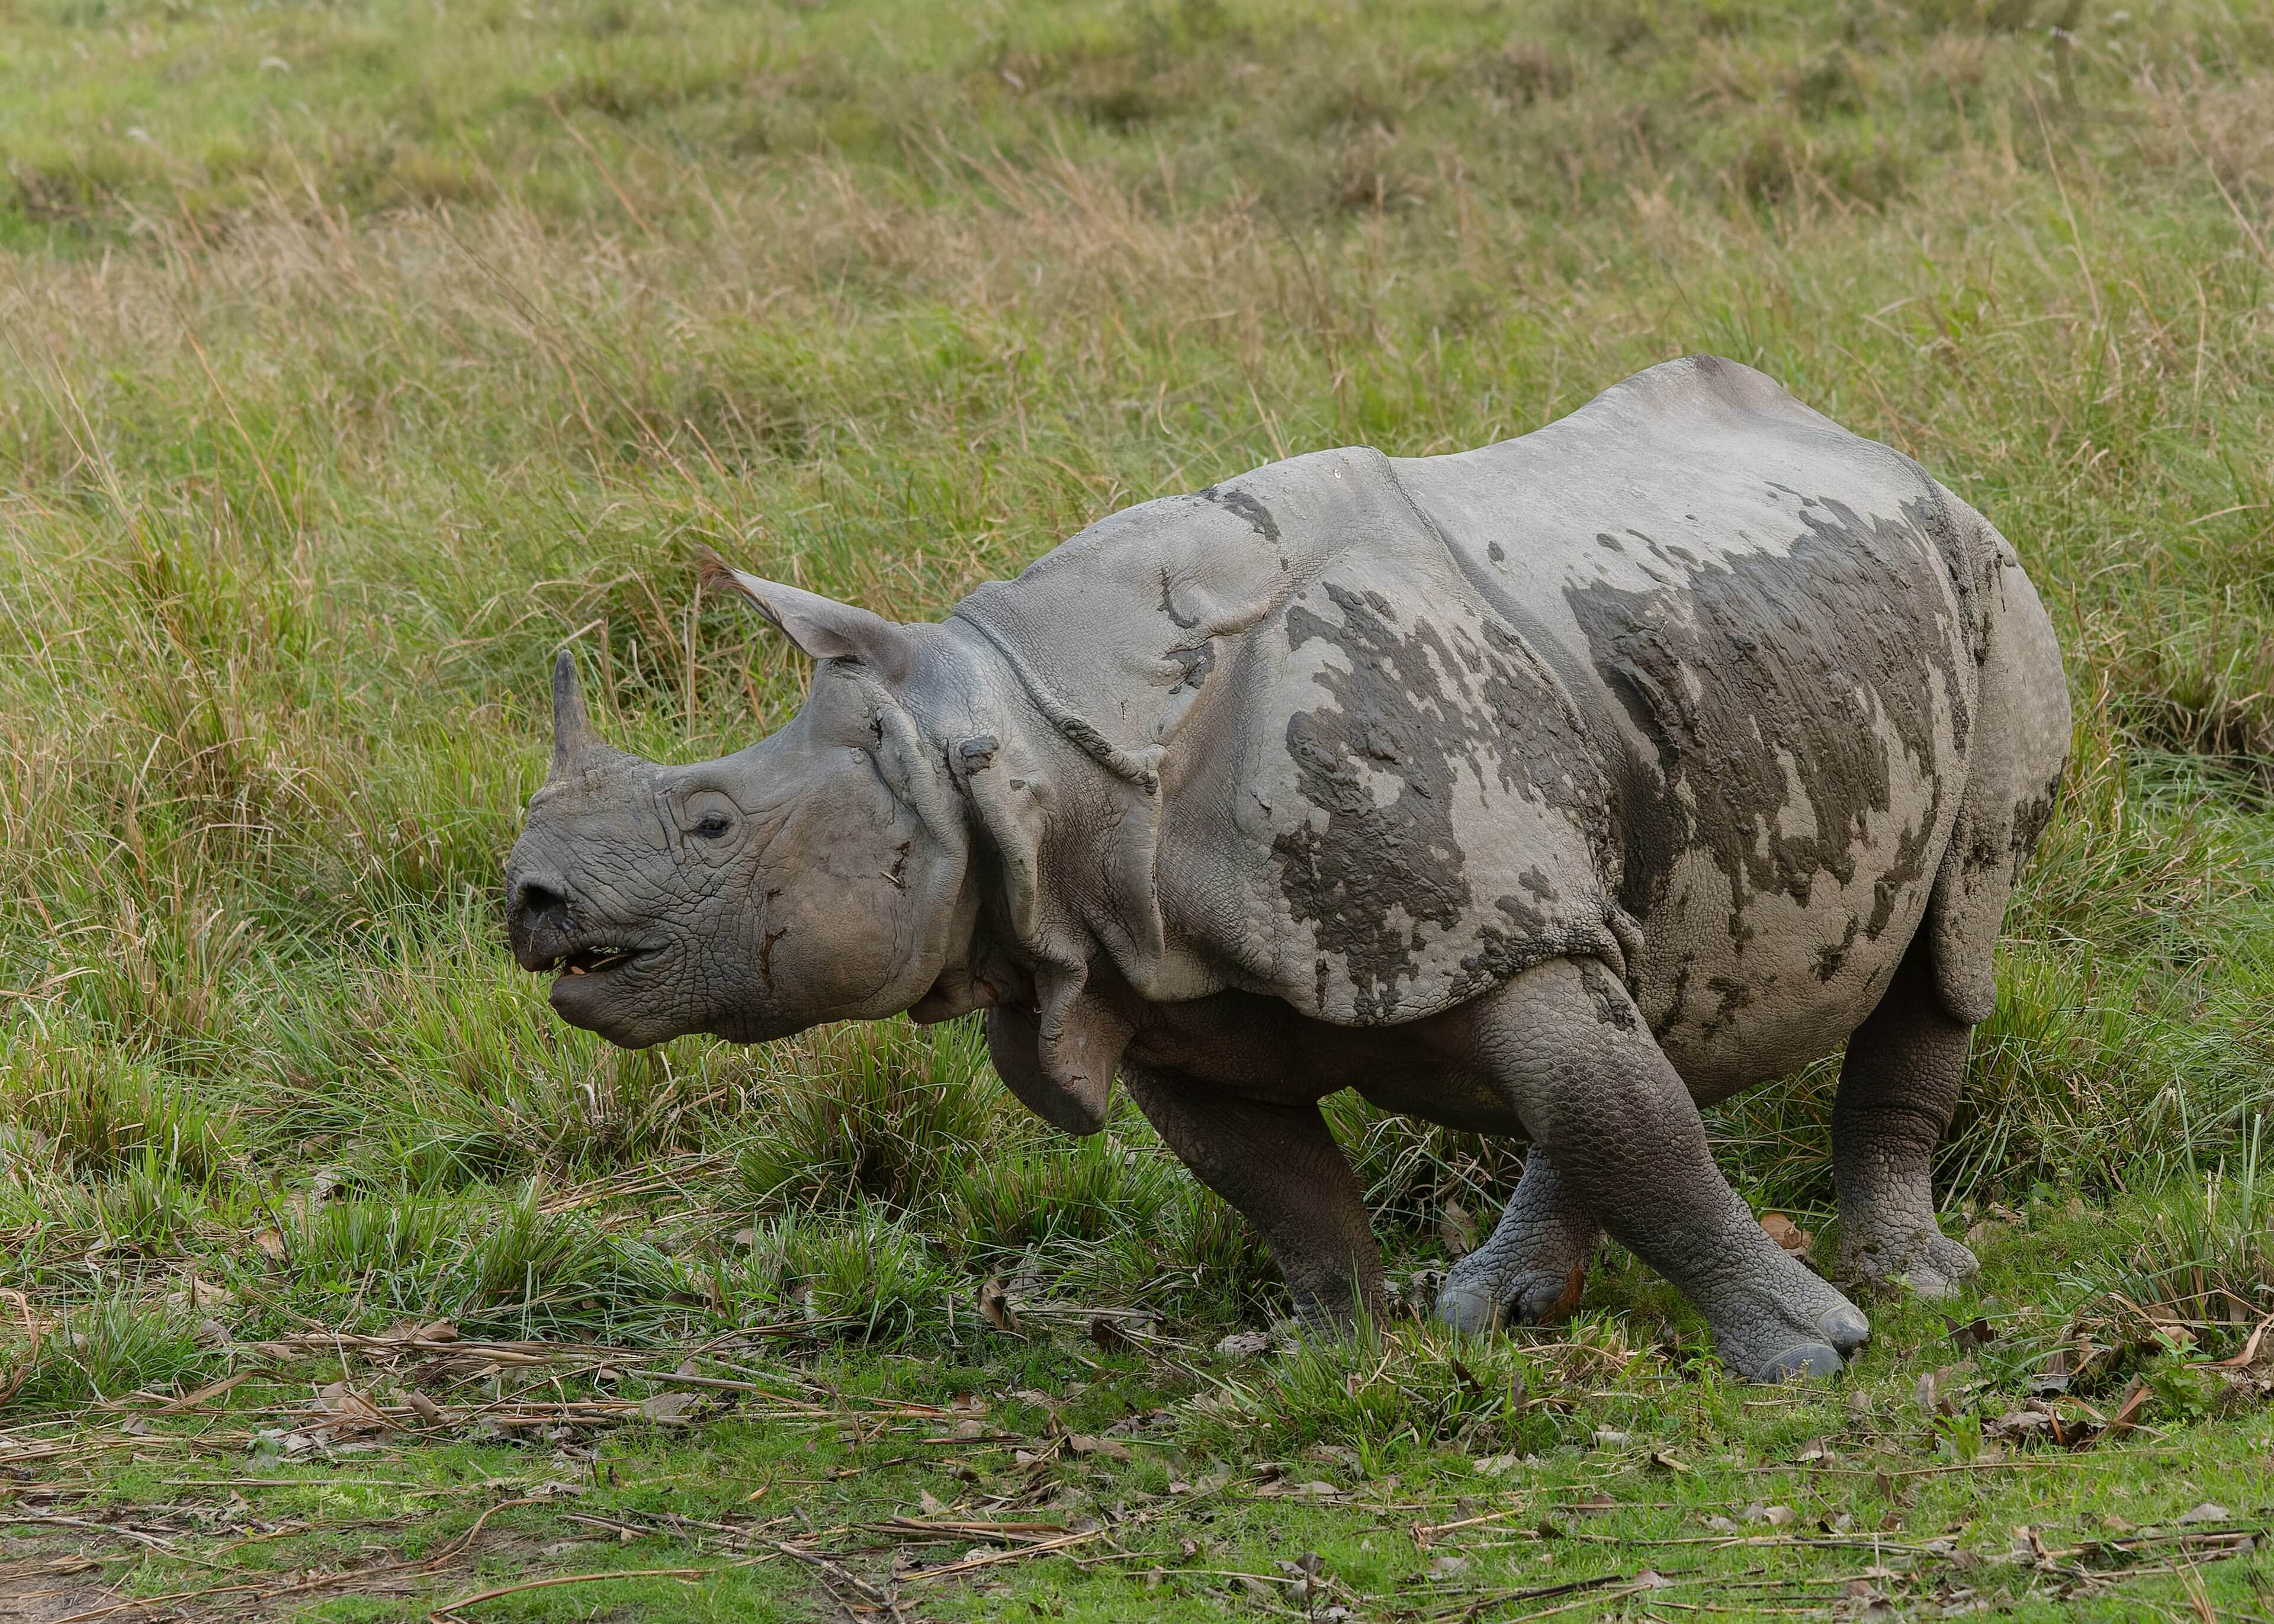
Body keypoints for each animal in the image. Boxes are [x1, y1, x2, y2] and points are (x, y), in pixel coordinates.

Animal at [506, 356, 2069, 1381]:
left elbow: (1639, 1129)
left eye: (714, 822)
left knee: (1944, 943)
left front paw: (1812, 1357)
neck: (1018, 748)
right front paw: (1331, 1357)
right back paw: (1501, 1310)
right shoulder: (1153, 981)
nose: (531, 902)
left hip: (1995, 583)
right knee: (1606, 983)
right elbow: (1279, 1184)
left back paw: (1907, 1283)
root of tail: (1885, 446)